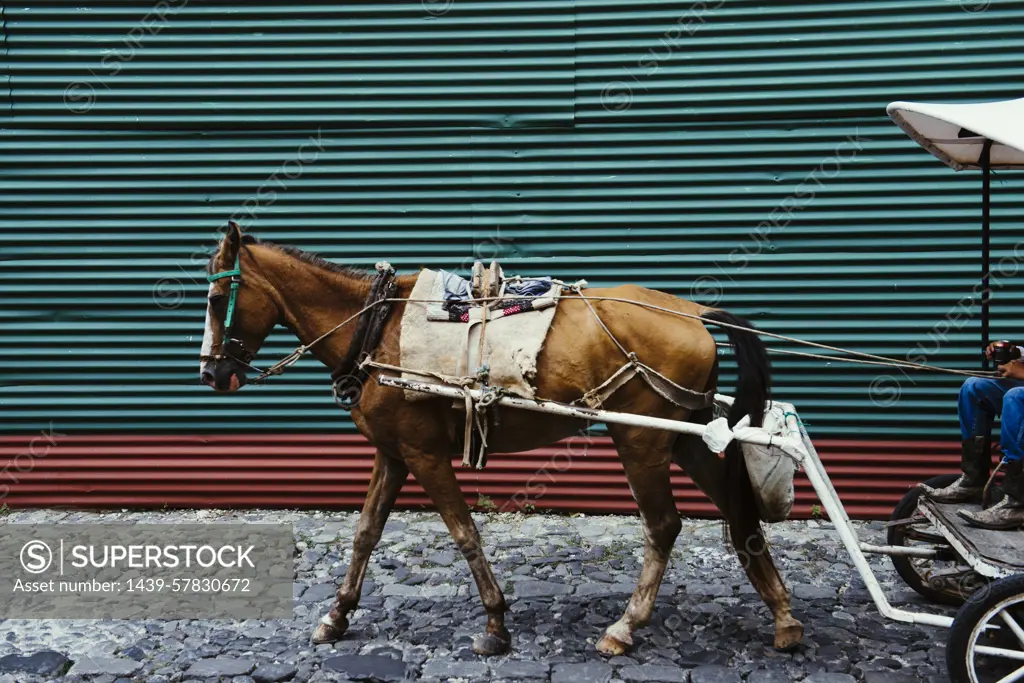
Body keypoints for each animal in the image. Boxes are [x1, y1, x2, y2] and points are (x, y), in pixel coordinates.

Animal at [197, 227, 798, 659]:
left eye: (219, 295)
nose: (211, 373)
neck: (376, 328)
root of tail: (695, 312)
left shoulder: (424, 454)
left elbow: (464, 533)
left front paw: (494, 623)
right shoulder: (392, 453)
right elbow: (365, 533)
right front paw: (337, 615)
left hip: (641, 439)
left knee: (664, 526)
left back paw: (625, 627)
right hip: (685, 437)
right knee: (737, 510)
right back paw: (784, 617)